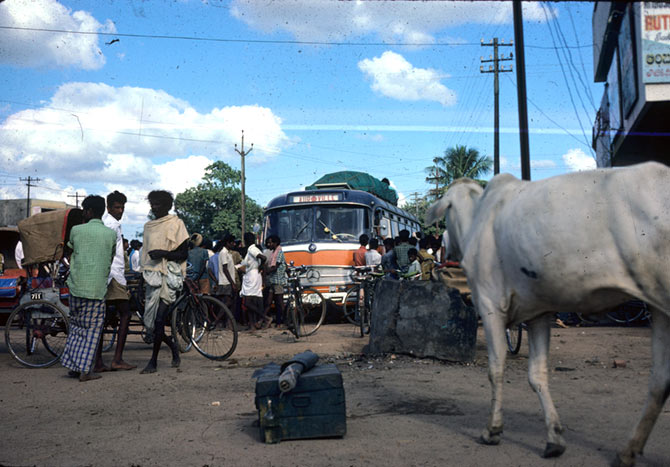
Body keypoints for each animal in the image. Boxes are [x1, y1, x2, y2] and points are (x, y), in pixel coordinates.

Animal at [428, 163, 668, 466]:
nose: (443, 247)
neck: (476, 218)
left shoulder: (490, 304)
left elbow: (495, 369)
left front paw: (492, 430)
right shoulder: (538, 313)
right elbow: (537, 374)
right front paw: (554, 438)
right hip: (658, 307)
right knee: (660, 381)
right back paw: (627, 452)